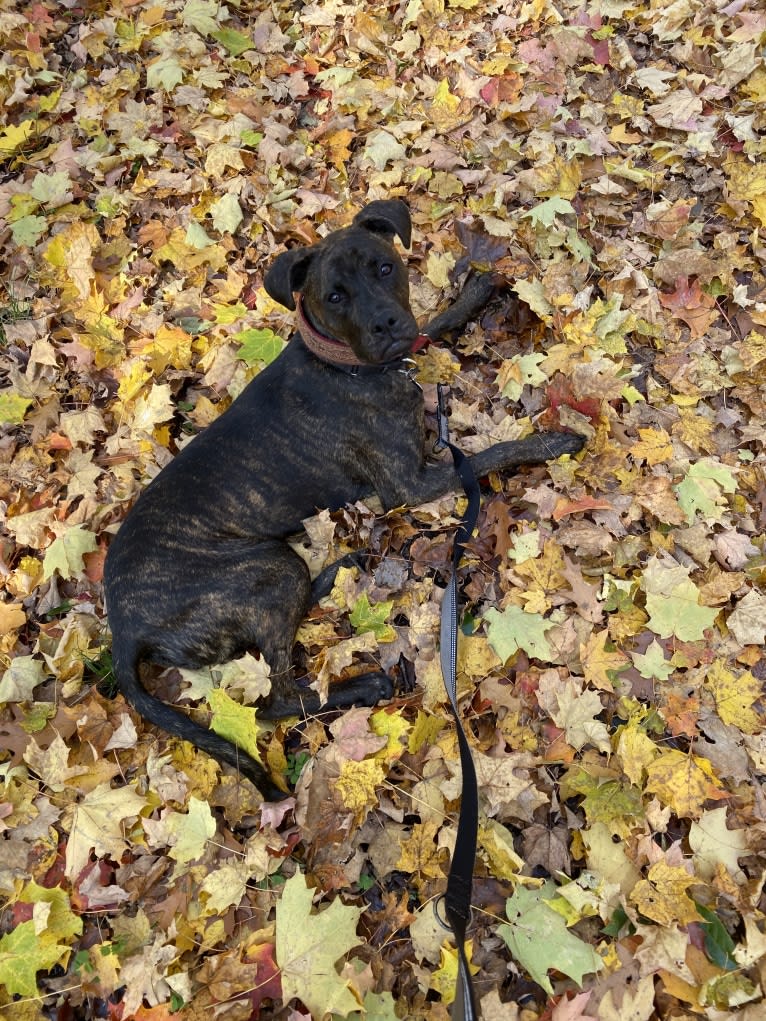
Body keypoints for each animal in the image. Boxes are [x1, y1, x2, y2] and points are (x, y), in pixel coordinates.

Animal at [100, 203, 580, 800]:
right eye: (334, 296)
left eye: (383, 268)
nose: (385, 325)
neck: (346, 362)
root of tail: (123, 629)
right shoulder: (407, 484)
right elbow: (490, 452)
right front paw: (552, 441)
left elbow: (432, 328)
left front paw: (474, 291)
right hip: (266, 569)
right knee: (276, 699)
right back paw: (366, 684)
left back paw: (336, 572)